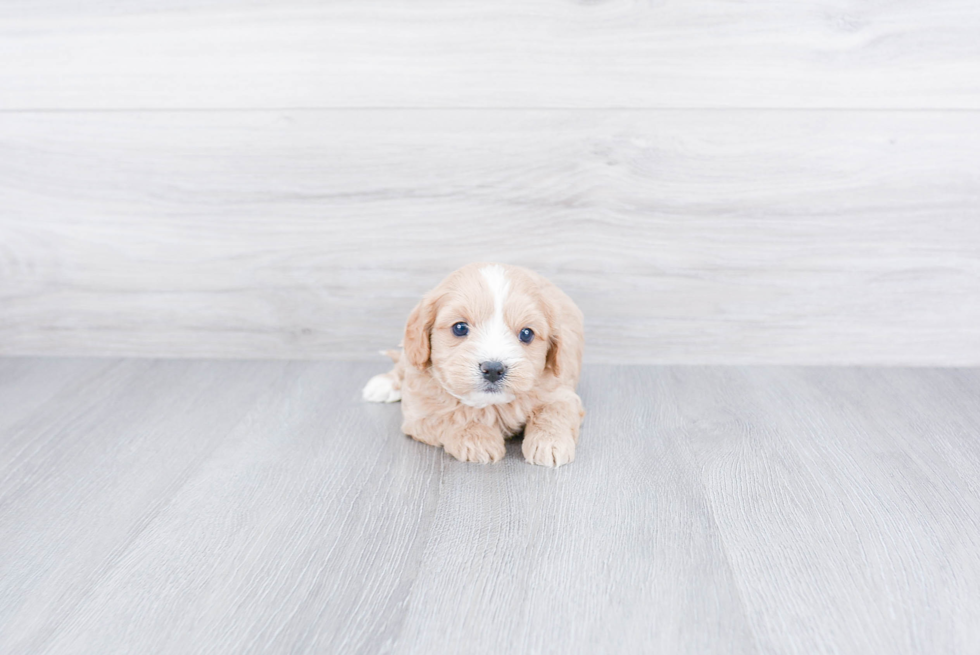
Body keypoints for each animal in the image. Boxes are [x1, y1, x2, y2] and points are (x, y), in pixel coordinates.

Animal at [366, 262, 580, 466]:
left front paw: (550, 442)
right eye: (460, 328)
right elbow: (451, 416)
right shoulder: (420, 412)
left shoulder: (561, 392)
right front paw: (477, 439)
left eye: (527, 334)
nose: (493, 369)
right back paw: (384, 384)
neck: (491, 404)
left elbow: (554, 411)